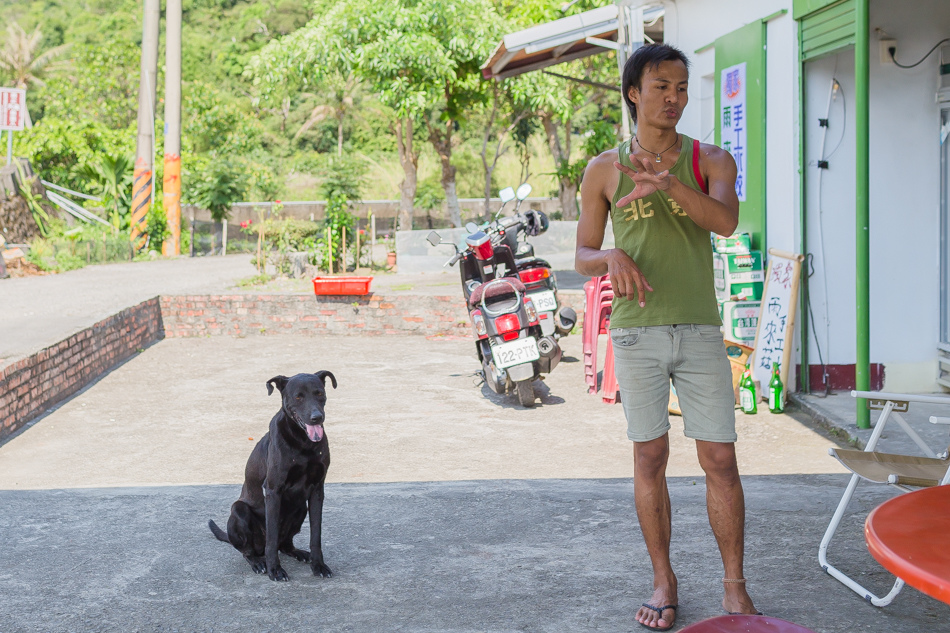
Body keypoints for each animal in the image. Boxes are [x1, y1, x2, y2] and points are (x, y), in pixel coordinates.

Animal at [210, 370, 336, 584]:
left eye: (319, 393)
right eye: (298, 397)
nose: (316, 418)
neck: (303, 443)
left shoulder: (317, 490)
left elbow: (316, 535)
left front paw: (318, 565)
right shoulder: (273, 490)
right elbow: (271, 537)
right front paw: (274, 570)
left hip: (301, 508)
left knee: (284, 544)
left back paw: (300, 553)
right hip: (239, 510)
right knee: (250, 550)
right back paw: (258, 563)